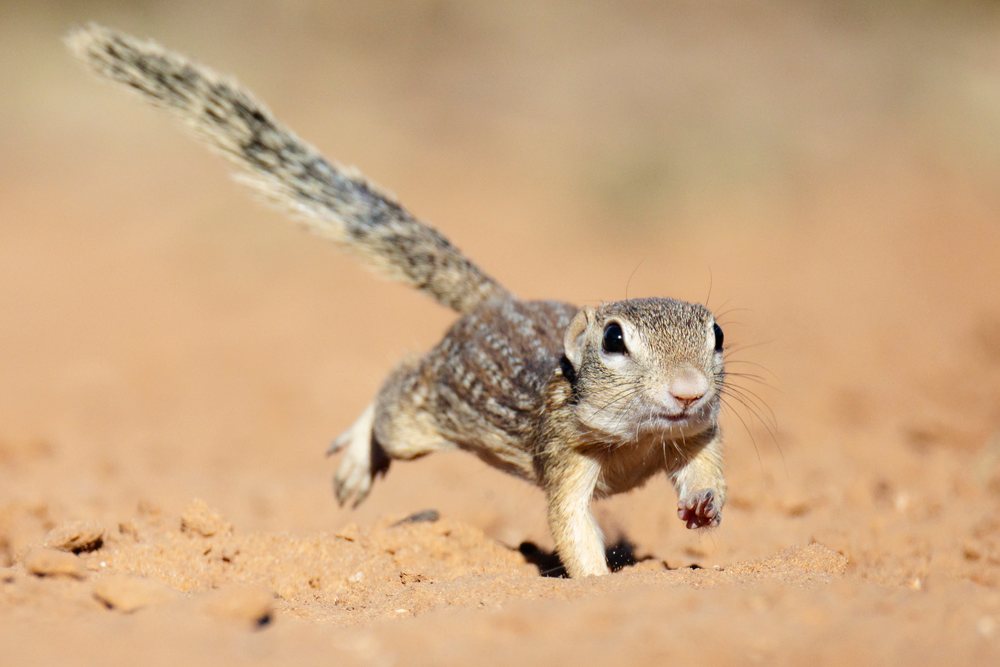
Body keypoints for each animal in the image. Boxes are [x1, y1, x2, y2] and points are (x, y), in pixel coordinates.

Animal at [68, 24, 728, 578]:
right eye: (614, 340)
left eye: (716, 335)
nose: (689, 389)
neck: (637, 440)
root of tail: (494, 302)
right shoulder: (563, 451)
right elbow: (571, 528)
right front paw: (598, 585)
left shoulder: (696, 432)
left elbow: (705, 465)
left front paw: (703, 506)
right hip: (425, 414)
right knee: (396, 390)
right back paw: (358, 457)